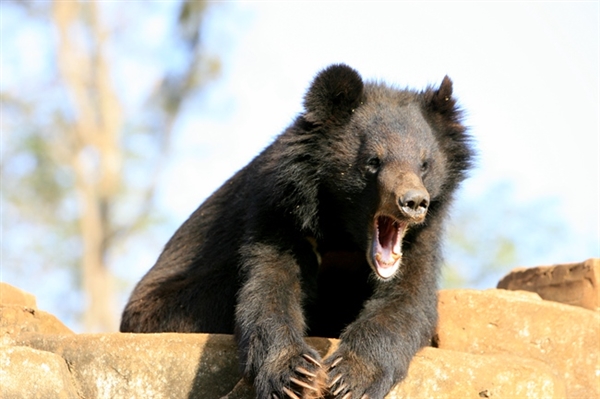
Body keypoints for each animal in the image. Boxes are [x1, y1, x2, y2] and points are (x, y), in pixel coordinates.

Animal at [122, 64, 474, 398]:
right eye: (373, 162)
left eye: (425, 165)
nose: (413, 202)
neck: (344, 233)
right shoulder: (277, 211)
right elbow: (270, 287)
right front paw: (294, 375)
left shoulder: (422, 237)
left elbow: (407, 299)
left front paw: (350, 378)